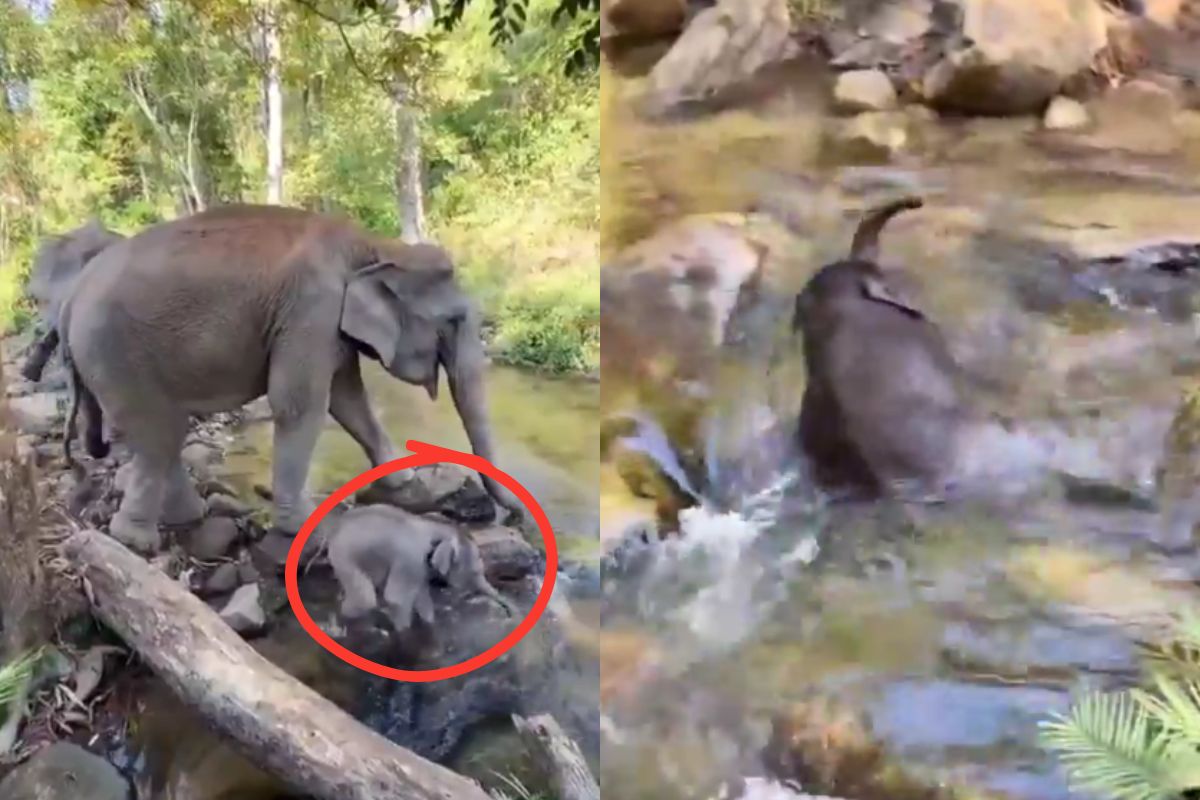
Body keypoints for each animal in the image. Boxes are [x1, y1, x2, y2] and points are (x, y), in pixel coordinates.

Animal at [59, 203, 525, 553]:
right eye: (454, 320)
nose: (515, 516)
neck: (374, 245)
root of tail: (72, 293)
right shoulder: (310, 308)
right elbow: (300, 403)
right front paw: (306, 526)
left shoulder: (329, 324)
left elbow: (347, 398)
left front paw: (405, 483)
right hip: (114, 353)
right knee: (160, 433)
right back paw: (136, 541)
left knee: (162, 435)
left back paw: (184, 518)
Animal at [327, 504, 515, 634]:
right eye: (474, 571)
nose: (510, 614)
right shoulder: (410, 558)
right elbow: (396, 599)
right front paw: (404, 634)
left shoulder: (419, 566)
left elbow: (422, 598)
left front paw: (430, 625)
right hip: (343, 554)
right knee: (365, 599)